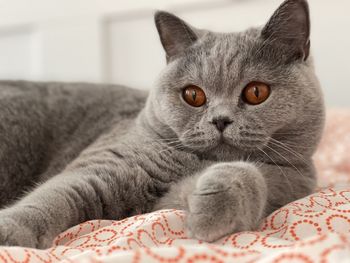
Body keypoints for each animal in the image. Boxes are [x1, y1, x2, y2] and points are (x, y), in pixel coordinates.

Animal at [0, 0, 326, 249]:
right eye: (193, 95)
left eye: (256, 92)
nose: (220, 120)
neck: (192, 163)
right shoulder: (101, 166)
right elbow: (52, 197)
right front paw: (9, 233)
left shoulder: (288, 181)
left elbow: (250, 175)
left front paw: (211, 209)